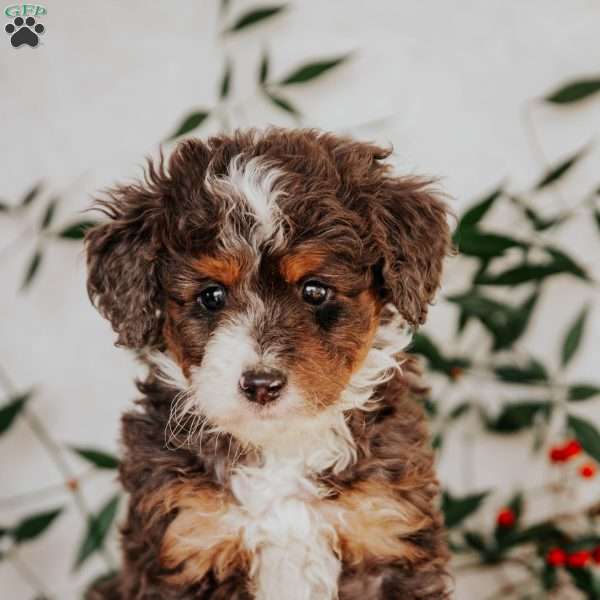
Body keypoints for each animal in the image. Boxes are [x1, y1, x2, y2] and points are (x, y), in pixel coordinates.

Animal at [84, 127, 450, 600]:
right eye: (211, 295)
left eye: (315, 290)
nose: (261, 384)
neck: (280, 449)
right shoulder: (189, 544)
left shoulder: (386, 532)